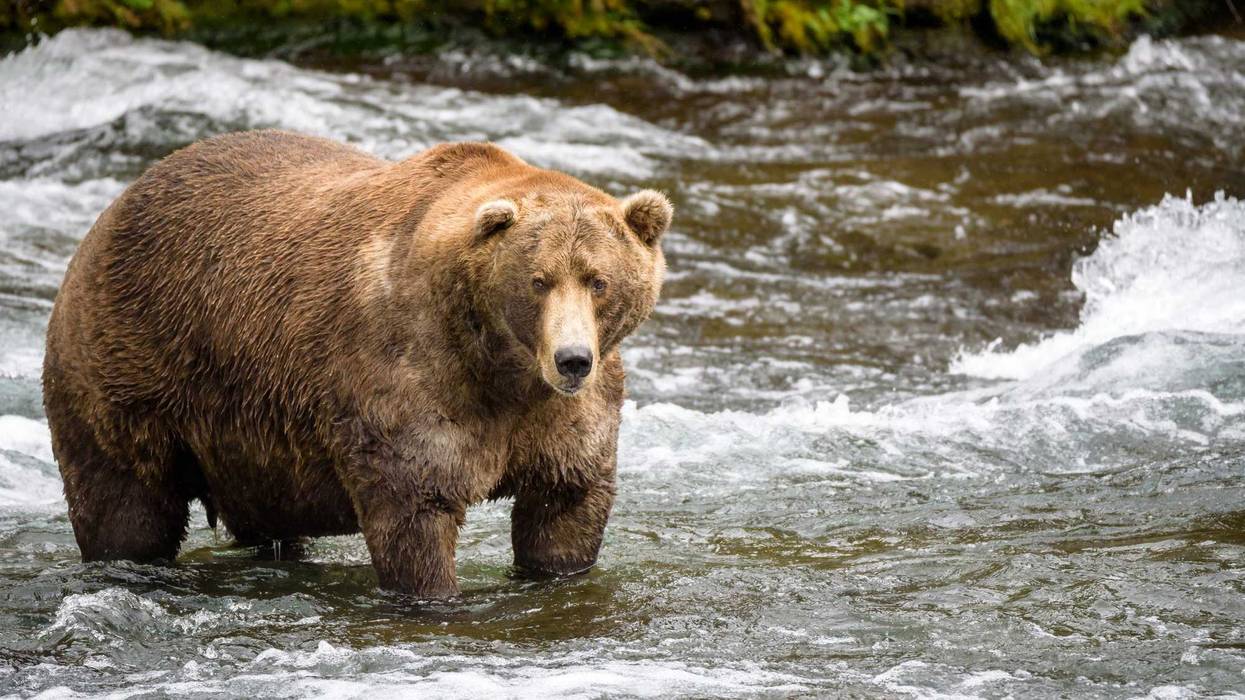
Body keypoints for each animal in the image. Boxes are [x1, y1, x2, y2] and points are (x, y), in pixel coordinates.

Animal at [42, 130, 671, 598]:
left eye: (598, 280)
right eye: (538, 281)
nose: (572, 360)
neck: (501, 368)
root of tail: (115, 207)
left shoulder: (565, 418)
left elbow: (565, 507)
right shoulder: (410, 374)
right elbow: (415, 510)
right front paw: (433, 593)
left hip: (247, 438)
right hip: (130, 364)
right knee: (126, 503)